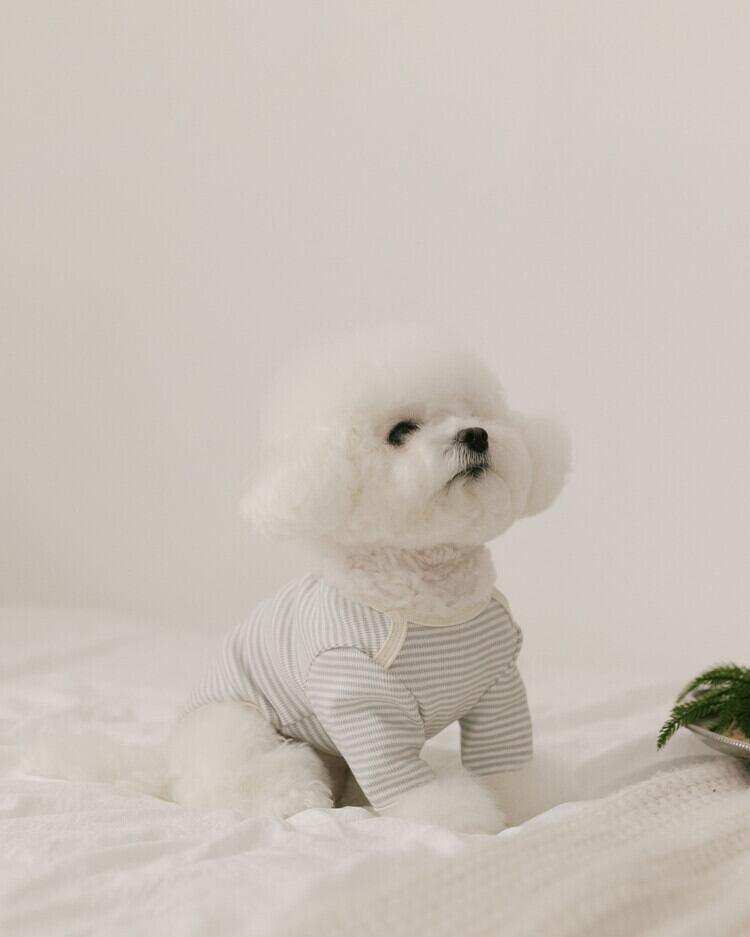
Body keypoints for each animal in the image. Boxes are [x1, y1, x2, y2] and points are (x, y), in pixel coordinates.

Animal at [168, 328, 568, 833]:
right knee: (248, 776)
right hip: (234, 727)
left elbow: (507, 766)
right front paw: (456, 817)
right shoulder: (361, 700)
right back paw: (292, 798)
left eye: (475, 413)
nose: (476, 434)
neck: (435, 596)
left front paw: (523, 805)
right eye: (400, 432)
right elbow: (407, 783)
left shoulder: (499, 686)